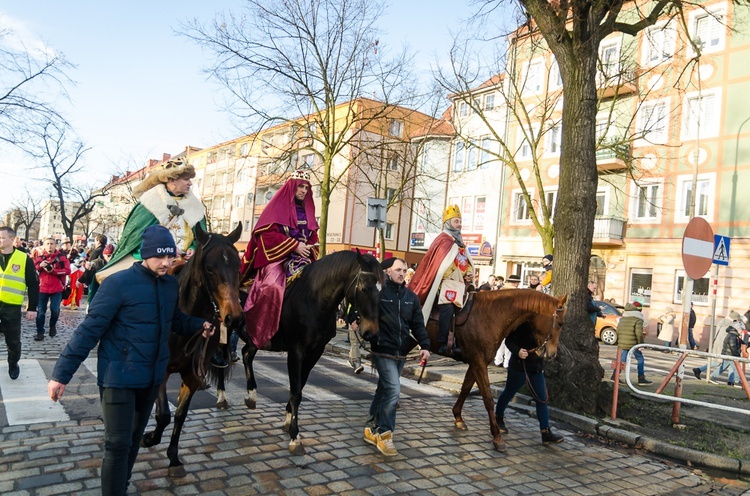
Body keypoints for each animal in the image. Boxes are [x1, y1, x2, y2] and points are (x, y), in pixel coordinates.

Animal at [141, 222, 244, 476]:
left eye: (238, 266)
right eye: (209, 268)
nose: (235, 318)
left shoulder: (191, 375)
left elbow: (180, 414)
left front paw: (173, 457)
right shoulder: (162, 371)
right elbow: (163, 415)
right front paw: (148, 438)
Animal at [238, 250, 384, 456]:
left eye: (382, 289)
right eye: (363, 289)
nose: (372, 332)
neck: (315, 299)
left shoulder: (315, 352)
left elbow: (300, 386)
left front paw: (288, 419)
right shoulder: (296, 351)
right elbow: (296, 391)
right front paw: (294, 435)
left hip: (257, 336)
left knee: (246, 354)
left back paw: (251, 396)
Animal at [426, 288, 568, 452]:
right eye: (560, 323)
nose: (553, 353)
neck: (489, 316)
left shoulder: (476, 363)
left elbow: (466, 388)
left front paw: (458, 418)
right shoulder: (479, 363)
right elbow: (488, 399)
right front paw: (497, 437)